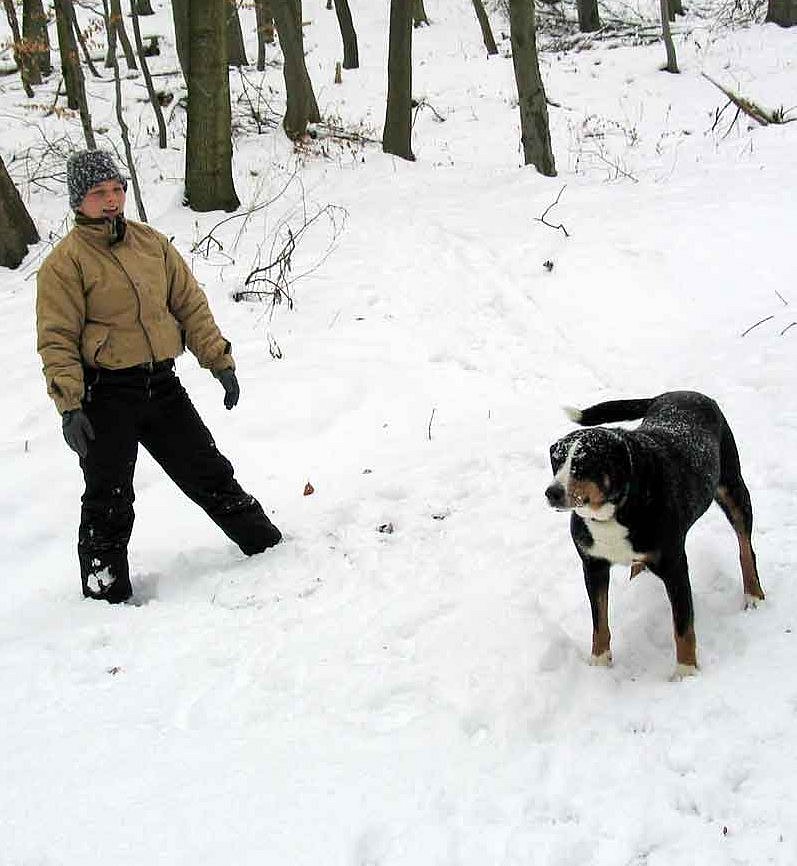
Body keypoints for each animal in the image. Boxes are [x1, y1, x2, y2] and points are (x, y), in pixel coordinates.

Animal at [544, 388, 760, 680]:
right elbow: (599, 621)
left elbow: (683, 626)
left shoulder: (674, 566)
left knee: (746, 549)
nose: (552, 492)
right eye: (557, 462)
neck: (615, 511)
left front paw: (685, 672)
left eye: (583, 464)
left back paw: (754, 595)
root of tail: (678, 392)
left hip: (733, 488)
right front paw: (599, 664)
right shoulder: (593, 564)